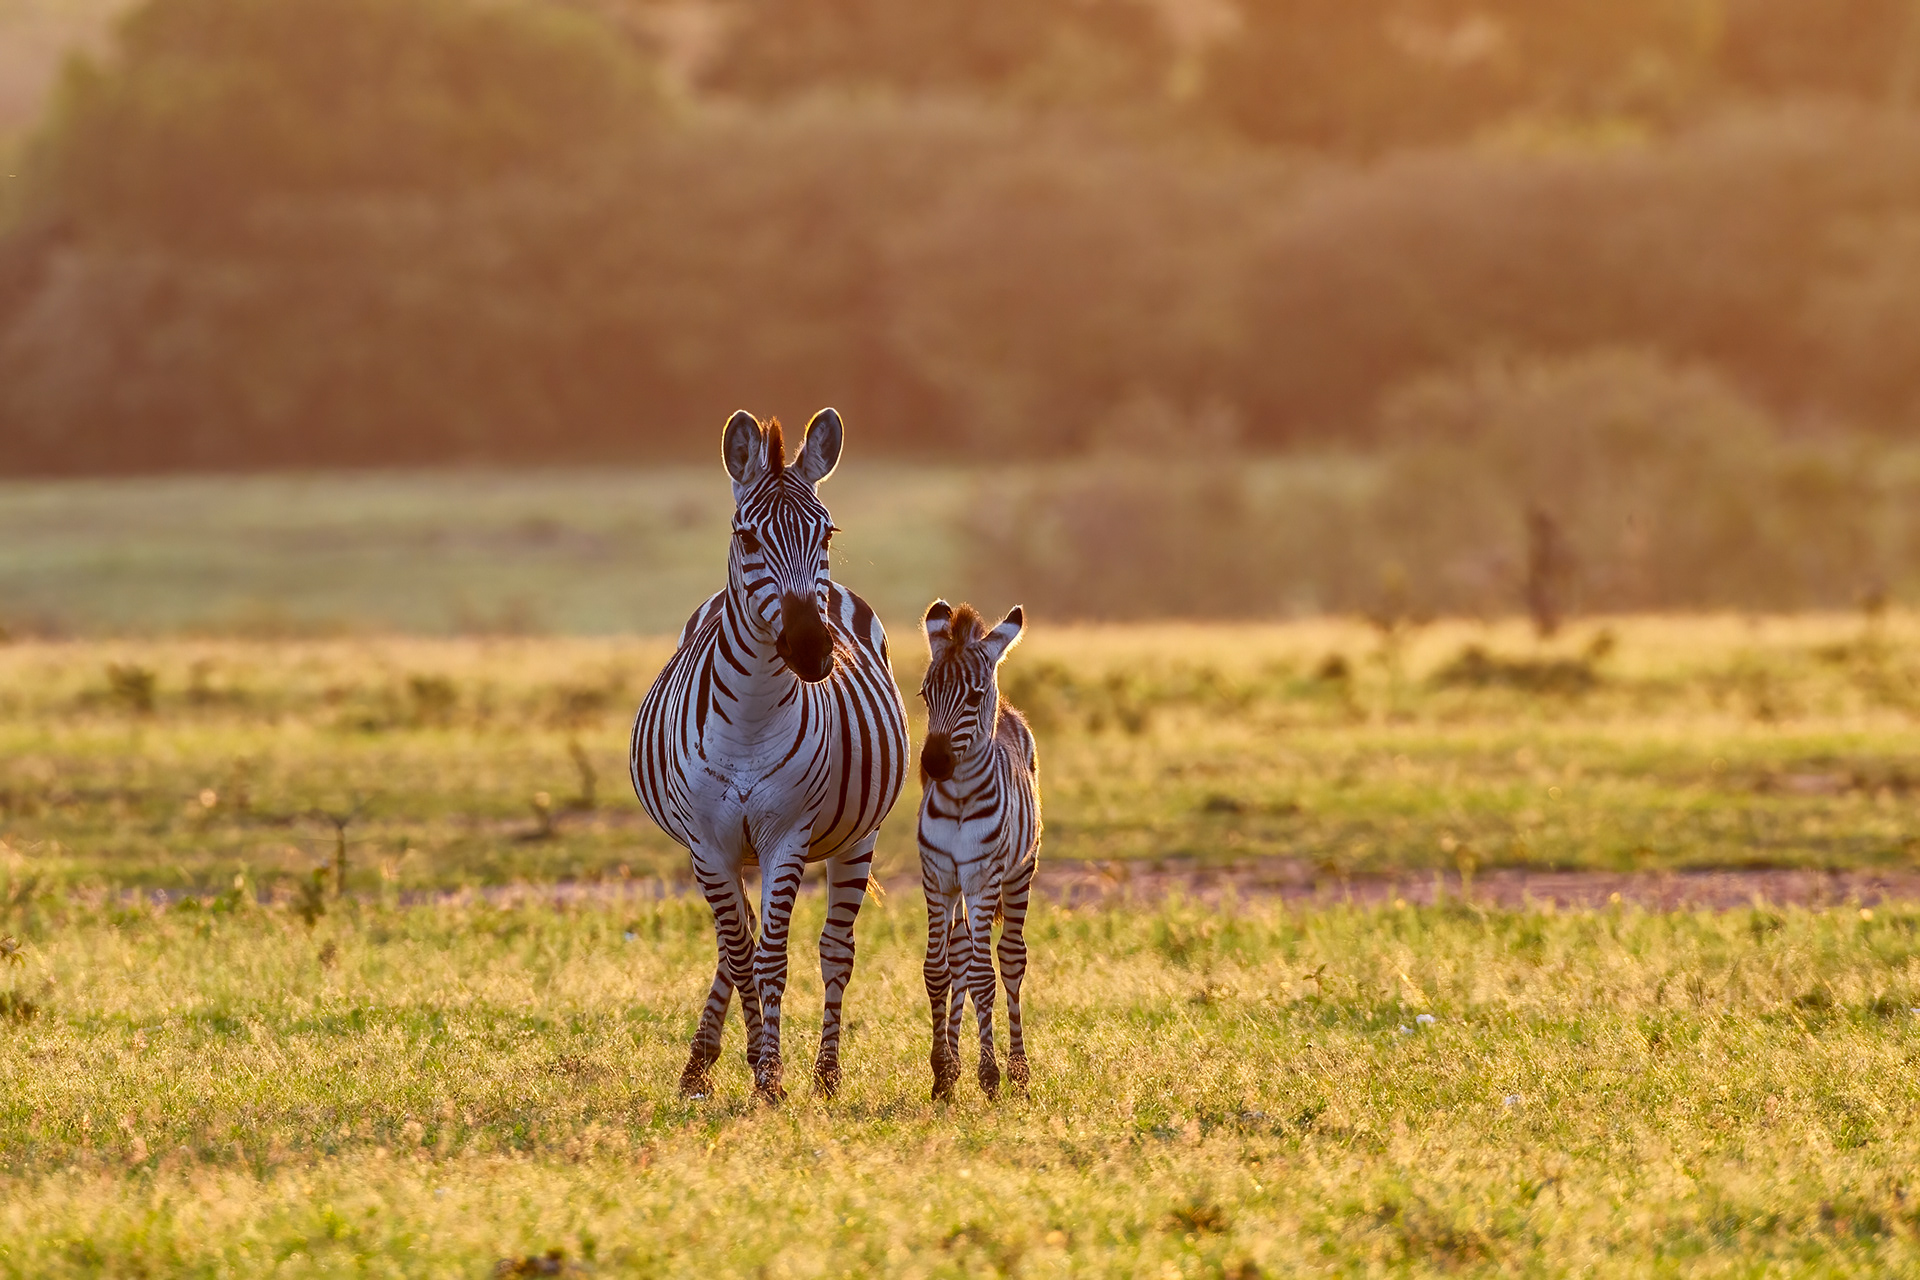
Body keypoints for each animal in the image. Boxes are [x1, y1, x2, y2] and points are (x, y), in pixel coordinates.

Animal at [630, 408, 908, 1102]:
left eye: (827, 531)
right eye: (746, 536)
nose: (812, 650)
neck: (752, 719)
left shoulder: (788, 834)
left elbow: (773, 956)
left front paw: (771, 1079)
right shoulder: (708, 841)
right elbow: (739, 951)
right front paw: (754, 1065)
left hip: (858, 835)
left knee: (835, 949)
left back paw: (827, 1075)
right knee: (737, 944)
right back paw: (700, 1062)